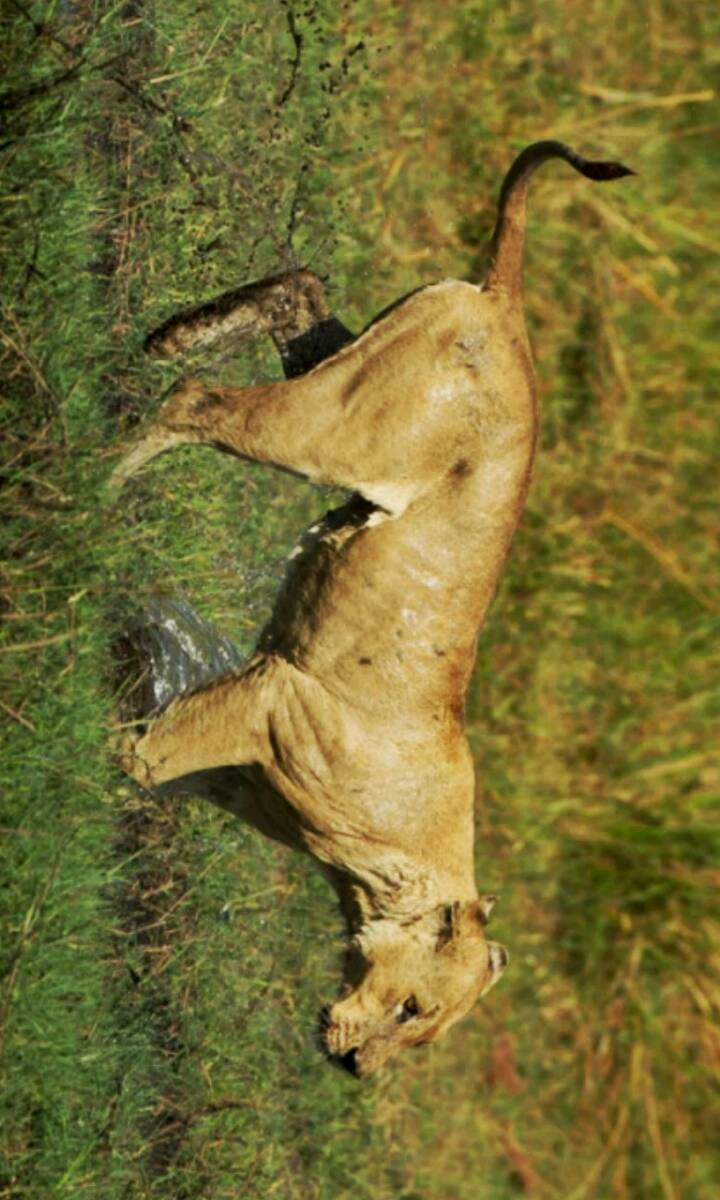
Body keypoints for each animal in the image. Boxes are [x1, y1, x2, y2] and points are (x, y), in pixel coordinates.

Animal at [111, 141, 632, 1076]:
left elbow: (160, 746)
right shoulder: (276, 695)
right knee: (198, 399)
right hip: (340, 430)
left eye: (420, 1033)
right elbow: (140, 758)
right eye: (414, 1007)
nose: (358, 1069)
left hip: (352, 385)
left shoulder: (240, 757)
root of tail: (505, 304)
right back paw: (105, 475)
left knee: (297, 291)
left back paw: (174, 332)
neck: (391, 871)